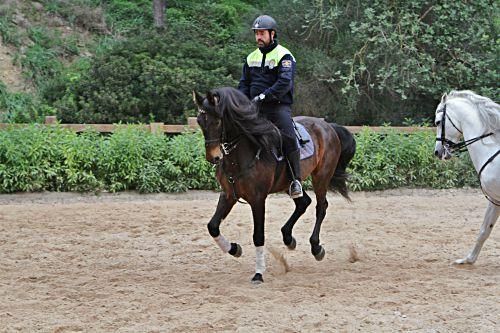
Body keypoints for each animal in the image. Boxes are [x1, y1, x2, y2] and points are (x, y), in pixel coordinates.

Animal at [192, 86, 356, 282]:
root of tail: (328, 126)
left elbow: (258, 235)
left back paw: (316, 247)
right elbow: (213, 226)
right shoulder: (228, 195)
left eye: (217, 121)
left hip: (321, 177)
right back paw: (288, 238)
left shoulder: (257, 199)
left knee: (321, 207)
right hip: (289, 183)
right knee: (303, 202)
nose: (214, 157)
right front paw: (234, 249)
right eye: (200, 121)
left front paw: (258, 273)